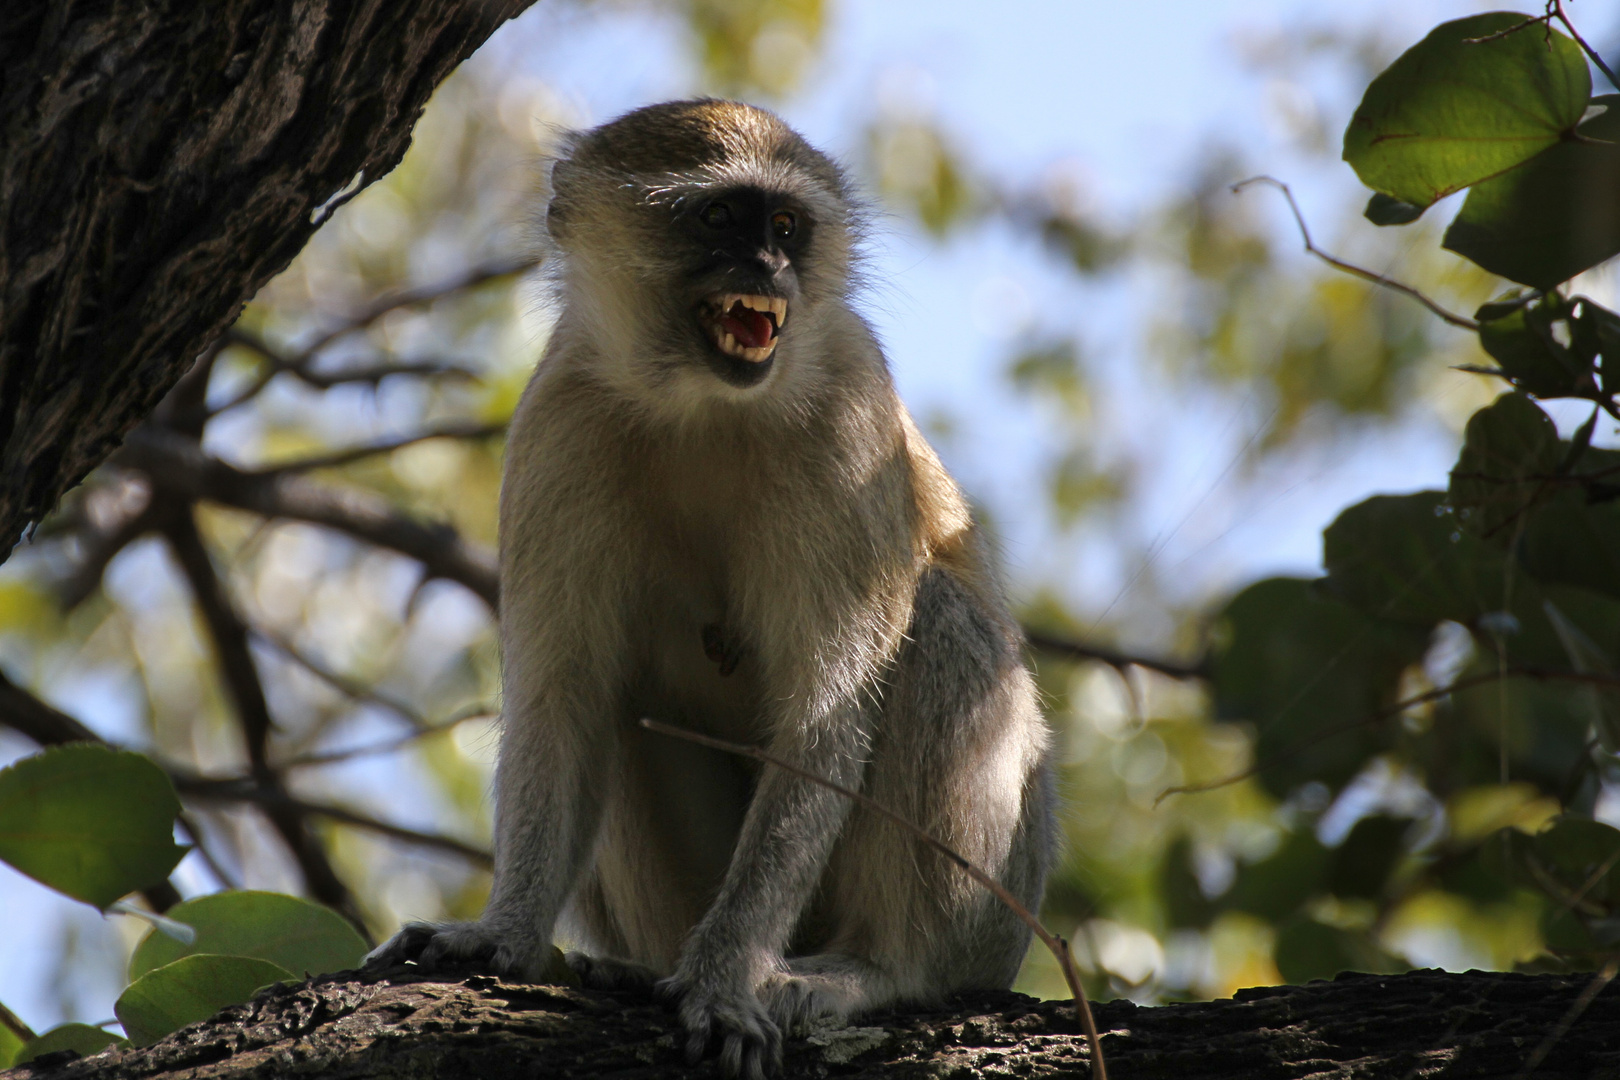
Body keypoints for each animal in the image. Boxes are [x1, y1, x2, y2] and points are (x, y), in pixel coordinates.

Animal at [364, 101, 1049, 1080]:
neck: (701, 404)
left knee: (946, 626)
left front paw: (725, 978)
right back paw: (631, 969)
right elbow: (563, 698)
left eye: (787, 226)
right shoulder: (559, 418)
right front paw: (503, 935)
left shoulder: (850, 415)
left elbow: (824, 718)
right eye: (721, 218)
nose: (766, 267)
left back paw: (877, 970)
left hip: (998, 903)